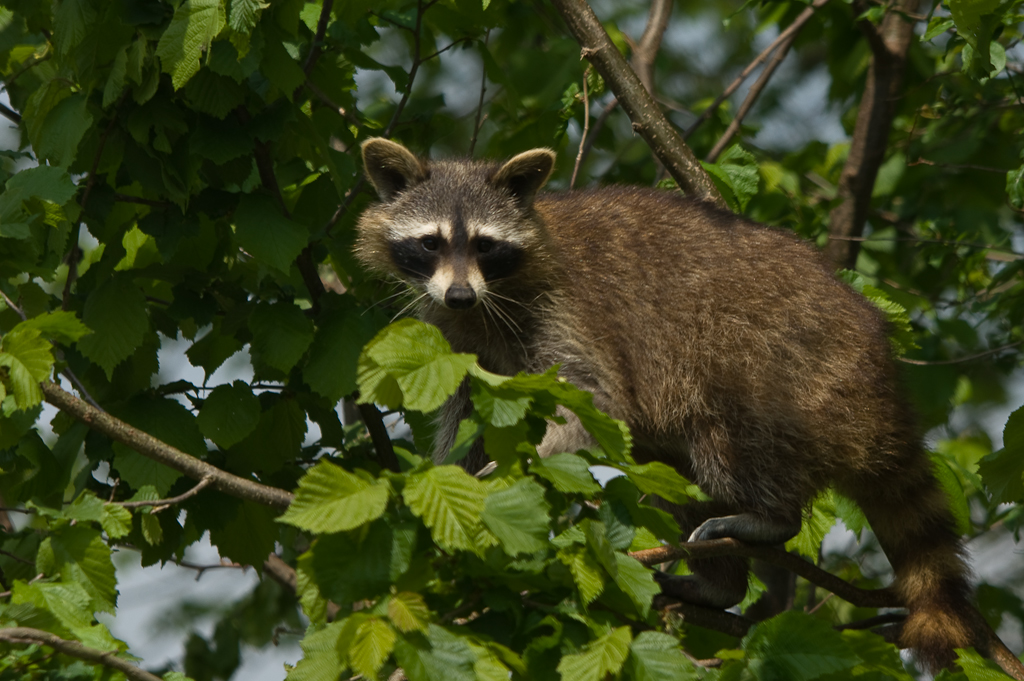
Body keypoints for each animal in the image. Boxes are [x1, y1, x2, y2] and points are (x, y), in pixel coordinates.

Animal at [358, 137, 974, 667]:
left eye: (486, 245)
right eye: (431, 242)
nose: (461, 293)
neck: (490, 297)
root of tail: (877, 385)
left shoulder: (566, 307)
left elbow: (596, 400)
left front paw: (521, 467)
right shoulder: (459, 341)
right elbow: (469, 416)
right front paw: (452, 478)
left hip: (789, 372)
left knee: (725, 433)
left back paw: (769, 516)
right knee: (671, 470)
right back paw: (720, 583)